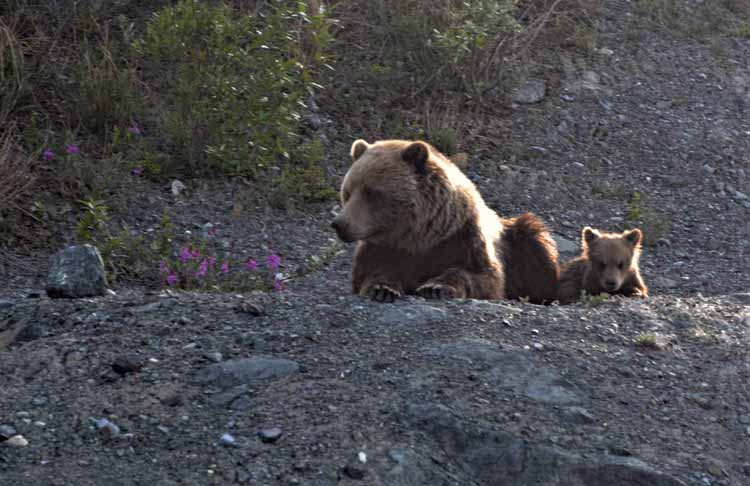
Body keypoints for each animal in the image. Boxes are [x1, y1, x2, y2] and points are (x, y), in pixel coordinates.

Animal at [330, 139, 559, 303]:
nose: (339, 224)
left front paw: (435, 287)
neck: (420, 237)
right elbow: (371, 272)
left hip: (518, 239)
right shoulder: (382, 247)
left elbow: (482, 276)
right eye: (348, 192)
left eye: (372, 193)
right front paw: (382, 289)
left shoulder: (463, 239)